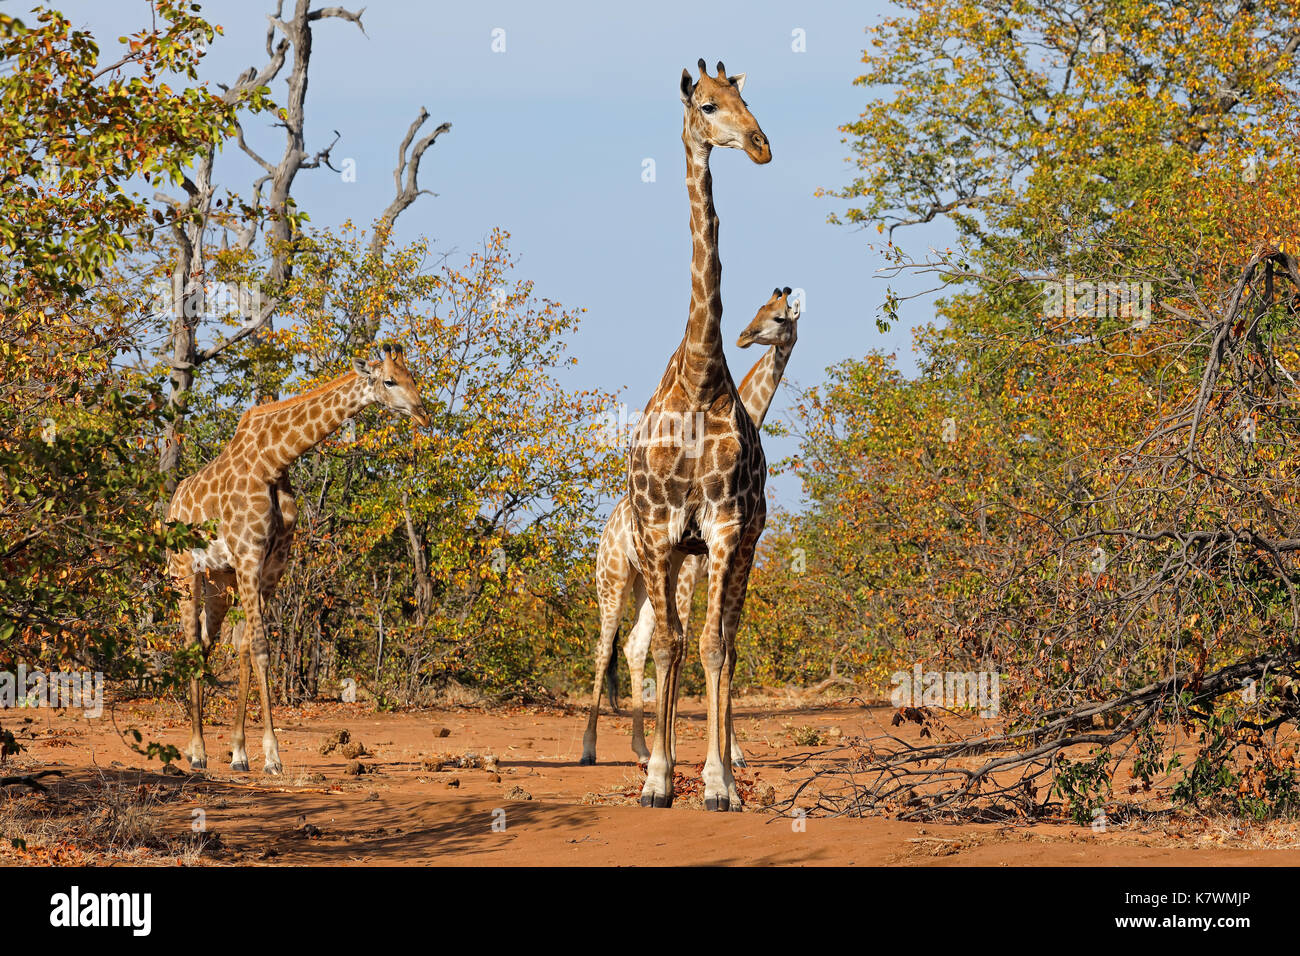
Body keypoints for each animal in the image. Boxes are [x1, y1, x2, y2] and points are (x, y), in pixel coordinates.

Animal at [166, 343, 431, 773]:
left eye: (413, 377)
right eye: (390, 380)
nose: (423, 414)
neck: (273, 461)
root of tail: (172, 505)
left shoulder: (271, 566)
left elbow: (245, 647)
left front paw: (240, 753)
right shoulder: (249, 556)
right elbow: (261, 648)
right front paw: (272, 756)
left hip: (220, 581)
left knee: (206, 643)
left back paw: (197, 748)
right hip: (183, 573)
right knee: (190, 642)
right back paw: (198, 752)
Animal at [581, 287, 801, 767]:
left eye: (777, 317)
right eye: (761, 312)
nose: (743, 336)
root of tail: (606, 531)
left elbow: (719, 645)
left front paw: (730, 753)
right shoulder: (690, 573)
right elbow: (689, 647)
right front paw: (689, 752)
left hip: (644, 584)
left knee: (634, 645)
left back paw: (642, 748)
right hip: (613, 581)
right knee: (605, 647)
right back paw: (589, 748)